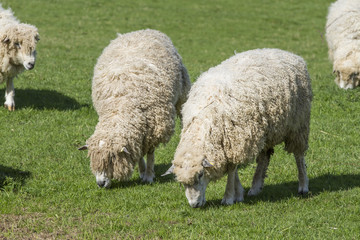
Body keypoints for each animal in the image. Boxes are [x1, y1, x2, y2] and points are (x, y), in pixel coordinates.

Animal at [79, 29, 191, 188]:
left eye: (111, 159)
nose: (100, 183)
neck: (121, 106)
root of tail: (143, 31)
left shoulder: (154, 128)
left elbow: (150, 153)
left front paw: (149, 175)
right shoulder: (138, 132)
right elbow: (137, 152)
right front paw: (142, 171)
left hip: (182, 92)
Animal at [163, 48, 312, 206]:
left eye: (201, 174)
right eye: (182, 183)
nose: (194, 205)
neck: (204, 122)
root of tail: (287, 53)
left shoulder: (235, 141)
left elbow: (232, 170)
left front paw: (229, 197)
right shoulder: (231, 143)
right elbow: (233, 170)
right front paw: (239, 193)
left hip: (299, 124)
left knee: (298, 155)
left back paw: (303, 185)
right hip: (267, 131)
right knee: (264, 157)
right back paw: (255, 187)